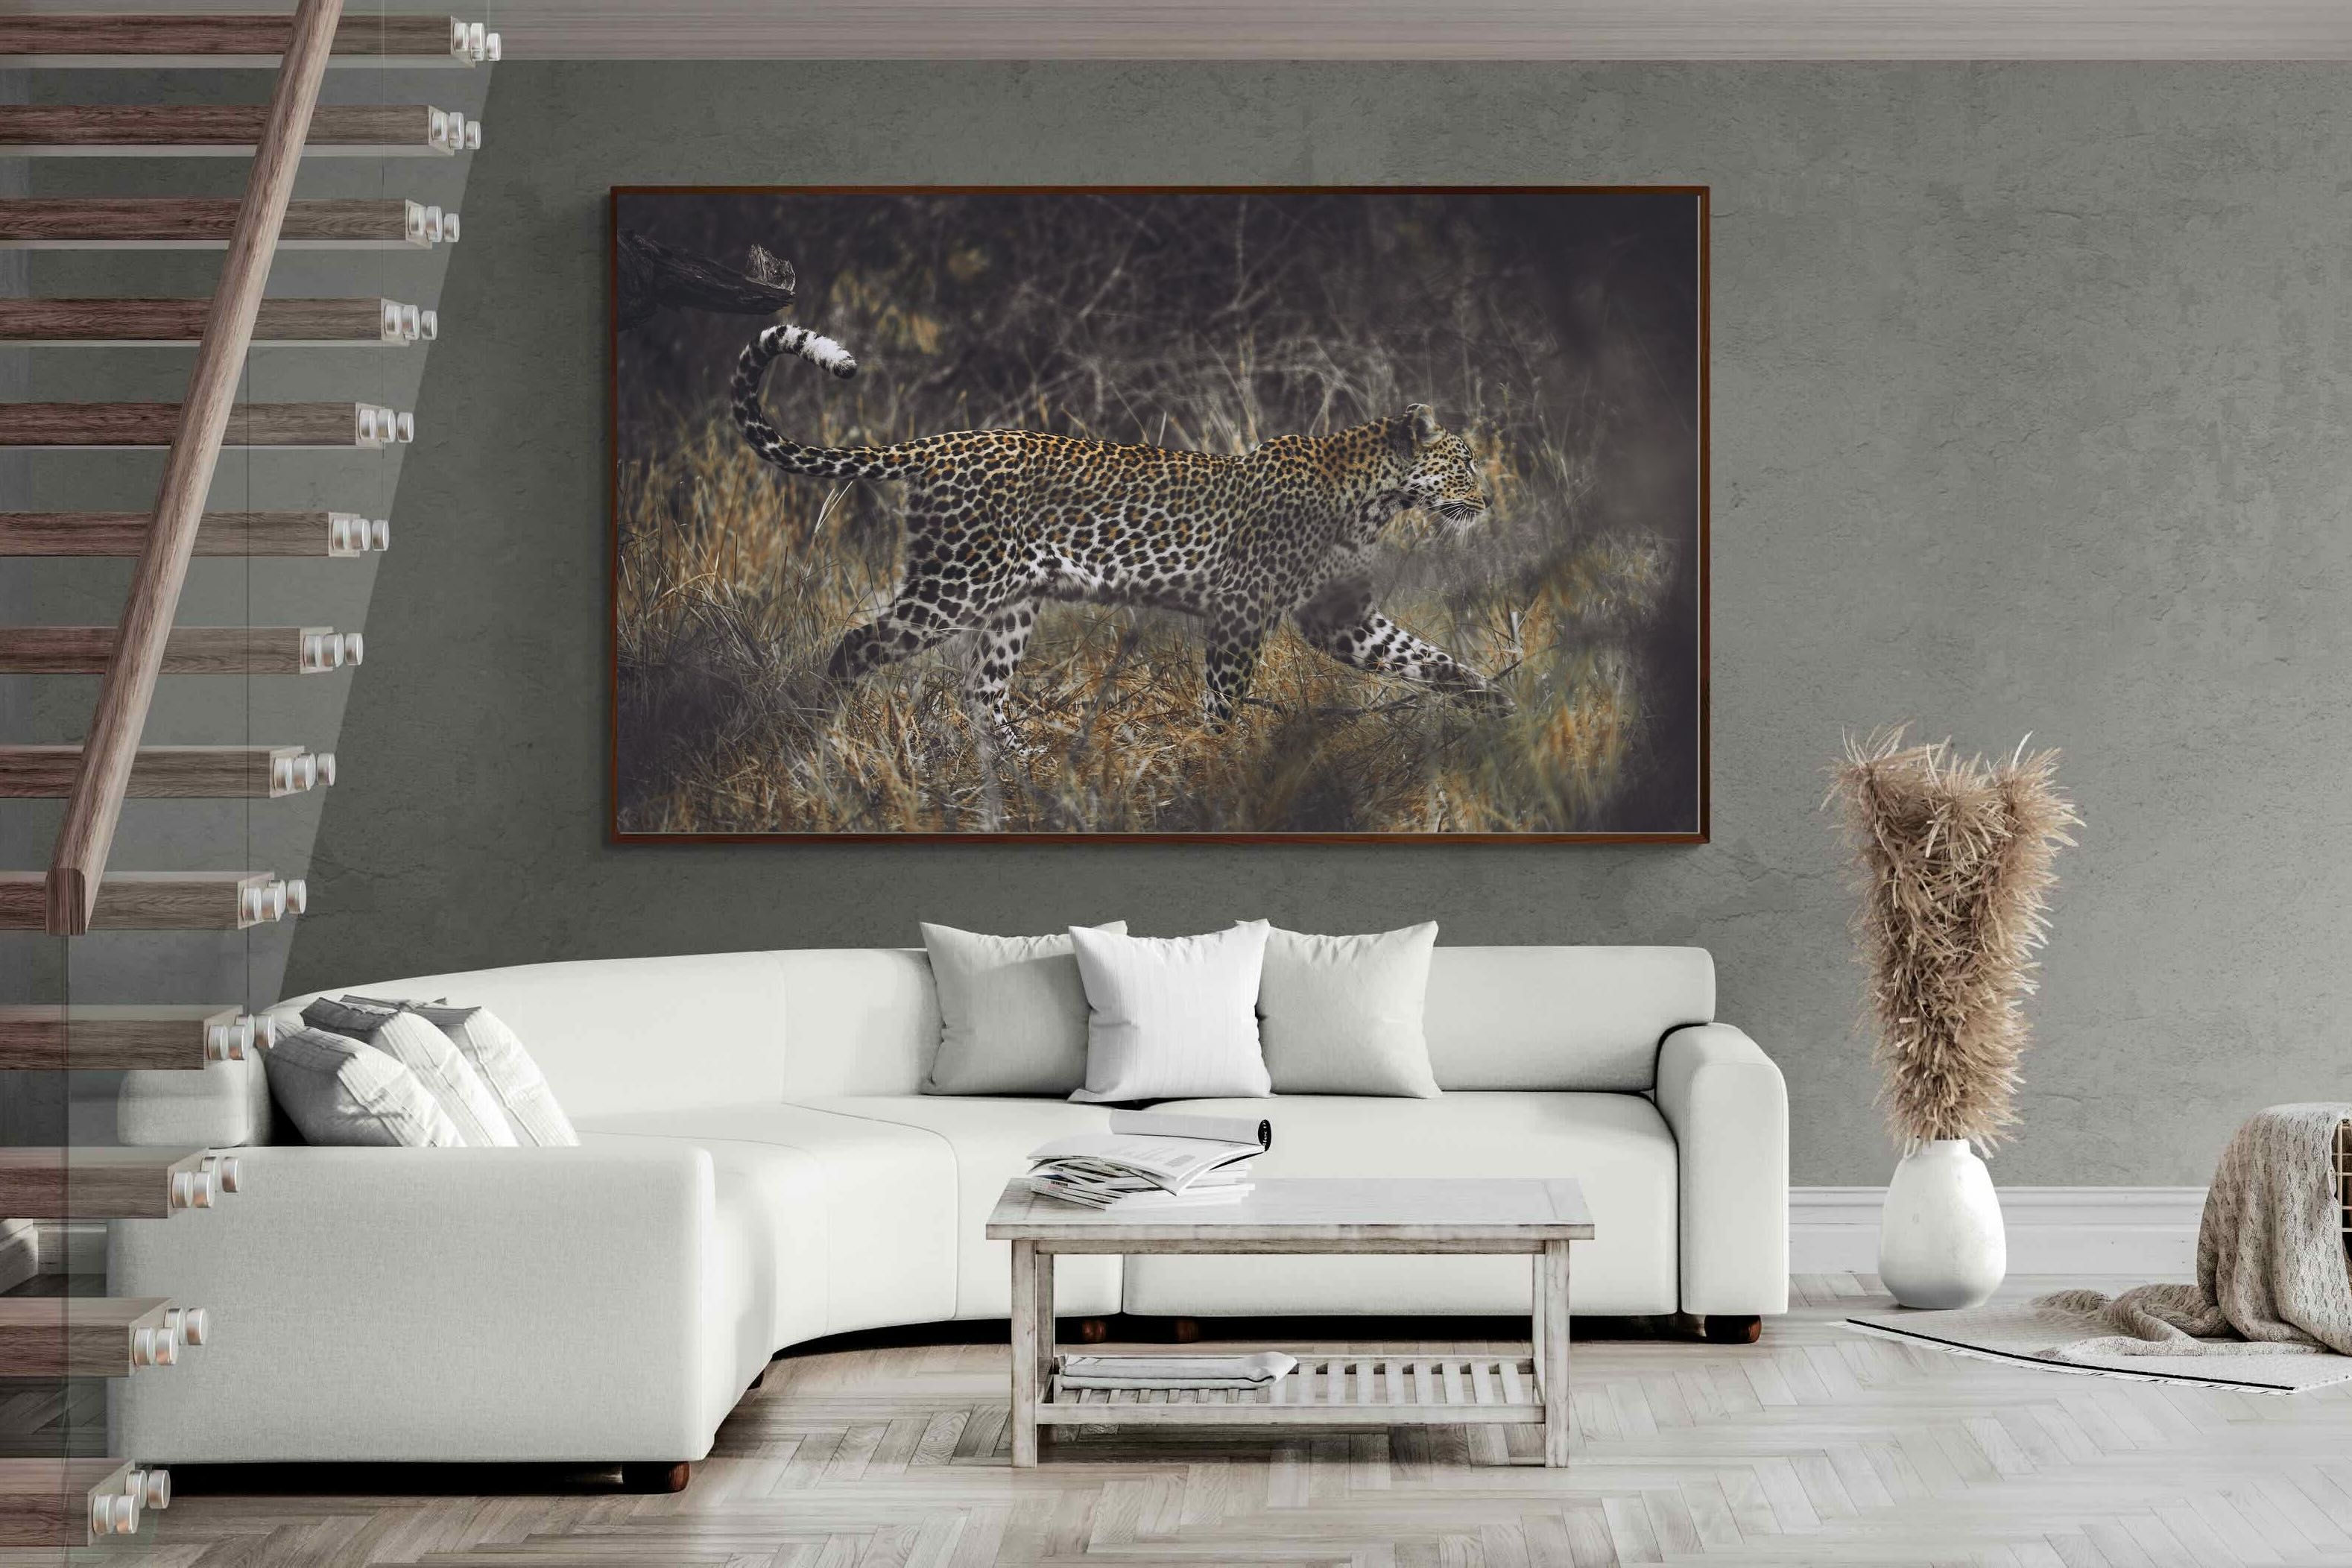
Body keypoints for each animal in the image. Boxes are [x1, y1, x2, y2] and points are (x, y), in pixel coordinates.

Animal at [730, 323, 1510, 748]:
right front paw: (1217, 763)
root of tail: (939, 442)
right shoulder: (1242, 609)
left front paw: (1498, 704)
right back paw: (821, 735)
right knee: (858, 645)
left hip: (1012, 599)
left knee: (983, 692)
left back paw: (1027, 772)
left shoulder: (1338, 618)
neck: (1374, 499)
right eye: (1465, 461)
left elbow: (1425, 658)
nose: (1489, 499)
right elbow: (1224, 698)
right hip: (956, 583)